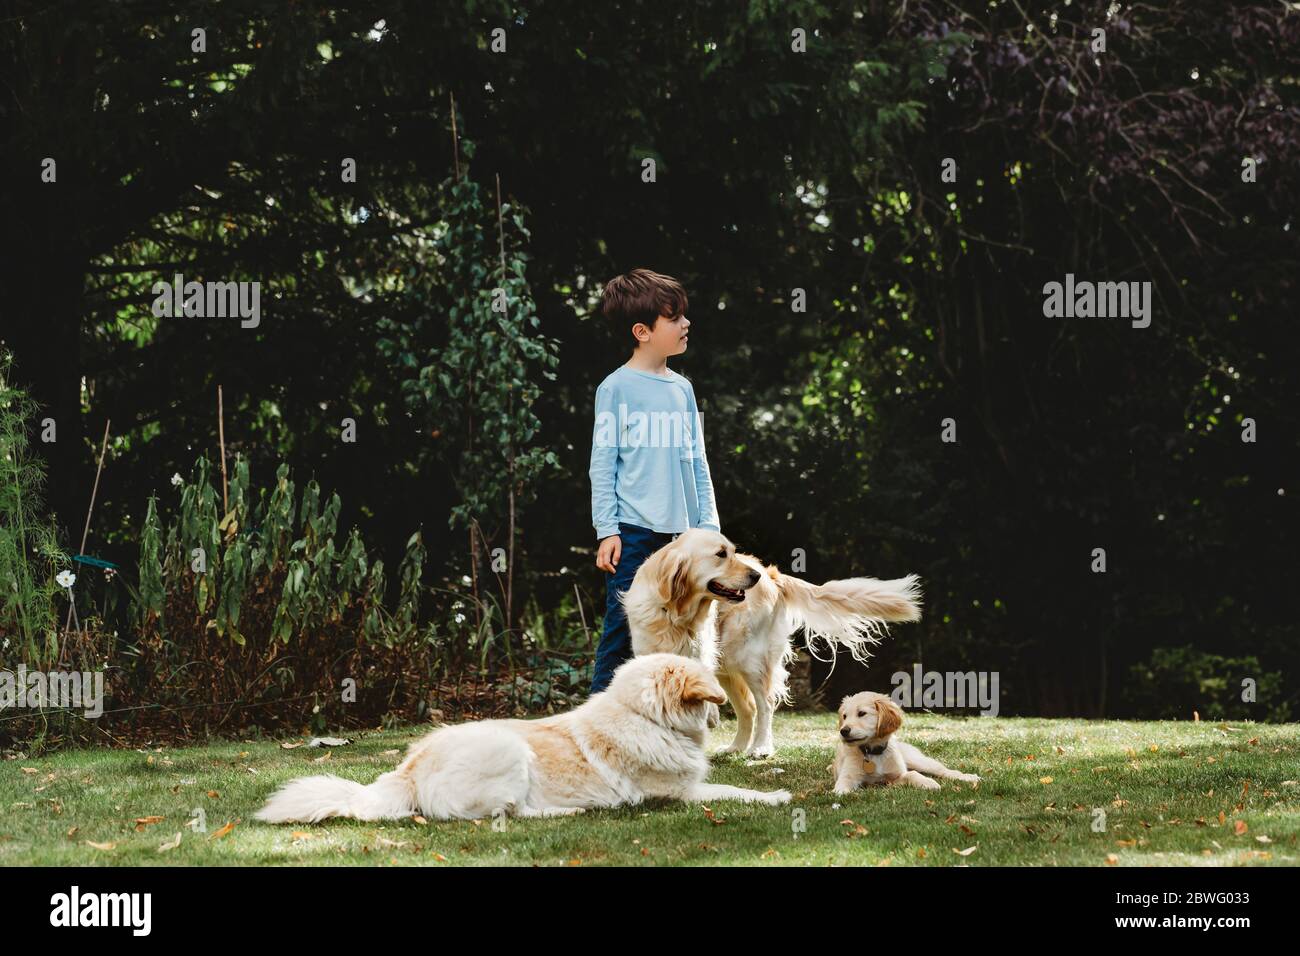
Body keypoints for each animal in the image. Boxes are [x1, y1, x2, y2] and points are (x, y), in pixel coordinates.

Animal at [249, 655, 785, 827]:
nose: (722, 703)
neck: (644, 717)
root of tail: (407, 772)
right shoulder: (680, 793)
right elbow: (736, 791)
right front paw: (777, 796)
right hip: (510, 750)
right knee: (511, 814)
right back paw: (576, 810)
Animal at [621, 528, 920, 759]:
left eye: (732, 551)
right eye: (721, 554)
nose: (754, 577)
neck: (675, 612)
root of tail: (771, 573)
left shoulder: (700, 653)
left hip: (749, 659)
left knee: (764, 705)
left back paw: (761, 747)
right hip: (729, 663)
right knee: (748, 709)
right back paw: (736, 747)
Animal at [837, 691, 977, 796]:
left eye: (862, 713)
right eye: (844, 716)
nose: (843, 731)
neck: (873, 752)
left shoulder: (896, 775)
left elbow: (912, 774)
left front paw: (929, 783)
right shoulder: (848, 776)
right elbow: (841, 786)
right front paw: (843, 794)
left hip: (918, 761)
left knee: (943, 771)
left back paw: (968, 777)